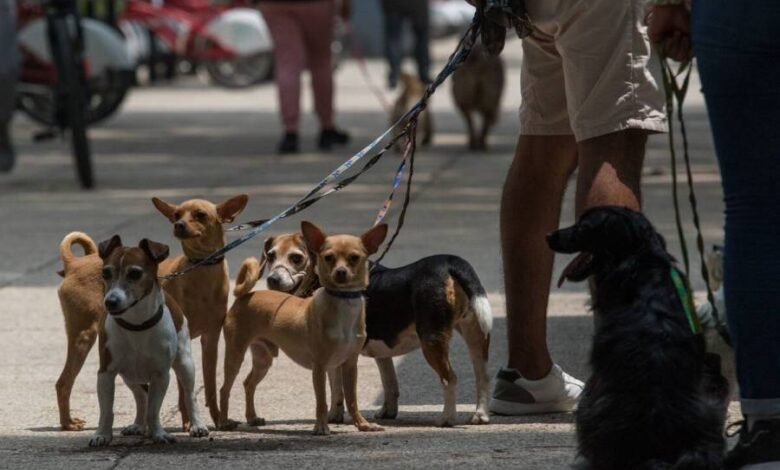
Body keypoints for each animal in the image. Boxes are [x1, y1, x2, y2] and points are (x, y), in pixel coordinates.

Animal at [54, 194, 247, 430]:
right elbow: (182, 390)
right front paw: (187, 423)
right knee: (63, 382)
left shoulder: (210, 339)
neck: (201, 271)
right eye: (176, 214)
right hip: (84, 335)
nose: (178, 225)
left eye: (200, 215)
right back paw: (67, 422)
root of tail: (74, 264)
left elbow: (209, 386)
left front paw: (219, 420)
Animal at [219, 222, 386, 436]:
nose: (340, 272)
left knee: (248, 383)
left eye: (354, 258)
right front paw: (321, 426)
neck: (343, 303)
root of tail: (246, 296)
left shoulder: (350, 365)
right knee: (224, 389)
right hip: (235, 355)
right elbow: (322, 401)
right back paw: (223, 421)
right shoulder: (320, 366)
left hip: (263, 359)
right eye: (328, 257)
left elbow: (352, 399)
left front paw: (362, 424)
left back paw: (252, 417)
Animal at [236, 231, 494, 426]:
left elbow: (336, 389)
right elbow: (390, 383)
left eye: (296, 258)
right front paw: (387, 412)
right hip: (476, 332)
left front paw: (334, 416)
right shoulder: (382, 353)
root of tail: (450, 262)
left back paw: (446, 418)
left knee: (450, 378)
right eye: (270, 256)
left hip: (432, 339)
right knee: (482, 374)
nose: (273, 280)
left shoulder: (334, 356)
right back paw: (480, 415)